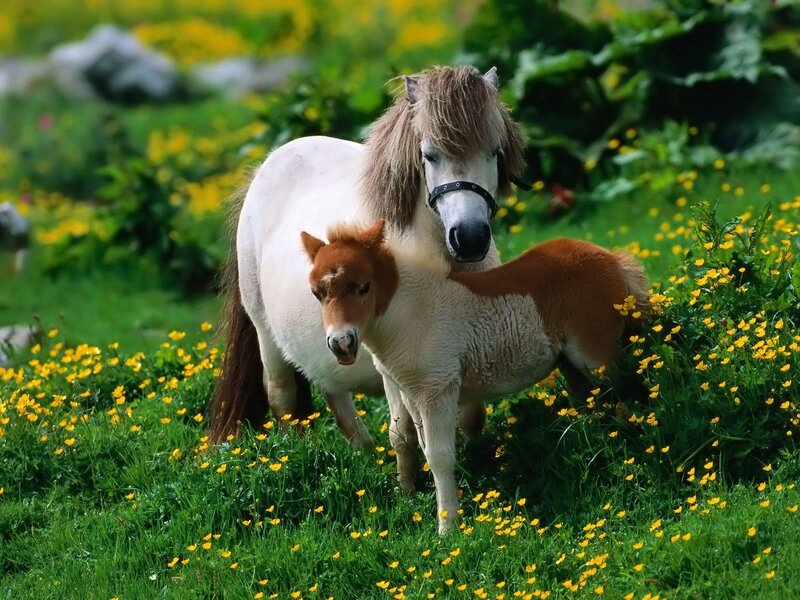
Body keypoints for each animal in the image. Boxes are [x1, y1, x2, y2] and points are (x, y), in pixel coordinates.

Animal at [209, 65, 527, 446]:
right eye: (429, 155)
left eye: (494, 152)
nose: (470, 237)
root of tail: (264, 169)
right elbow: (408, 430)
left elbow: (472, 418)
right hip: (265, 333)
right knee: (282, 395)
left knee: (333, 391)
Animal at [302, 220, 650, 533]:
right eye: (316, 293)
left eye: (363, 287)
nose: (341, 343)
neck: (411, 313)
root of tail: (612, 258)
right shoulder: (411, 393)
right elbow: (415, 444)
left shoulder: (438, 389)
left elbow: (440, 456)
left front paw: (448, 527)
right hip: (570, 363)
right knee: (590, 402)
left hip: (594, 356)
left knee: (630, 391)